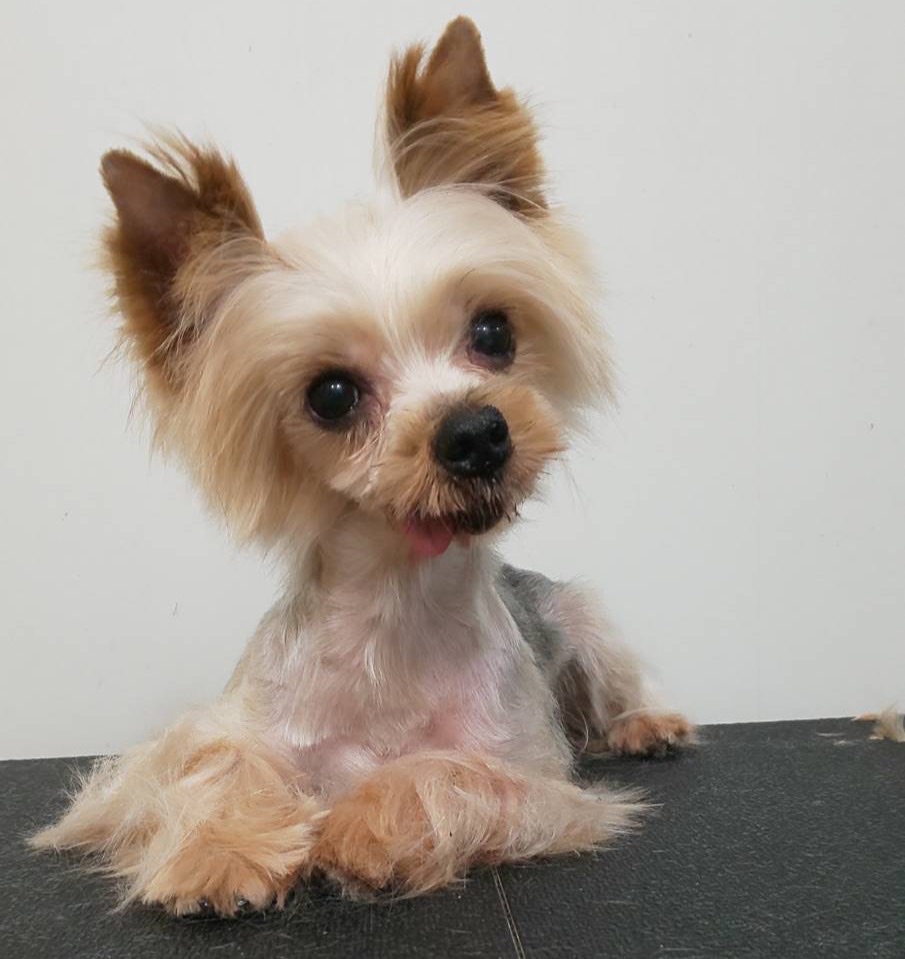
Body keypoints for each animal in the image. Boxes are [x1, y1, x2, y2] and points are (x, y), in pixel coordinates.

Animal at [32, 17, 694, 916]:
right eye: (332, 394)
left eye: (493, 332)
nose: (475, 433)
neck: (396, 605)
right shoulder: (178, 751)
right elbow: (209, 762)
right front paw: (222, 847)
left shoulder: (537, 778)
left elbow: (450, 771)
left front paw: (364, 824)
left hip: (581, 617)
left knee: (611, 683)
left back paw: (643, 724)